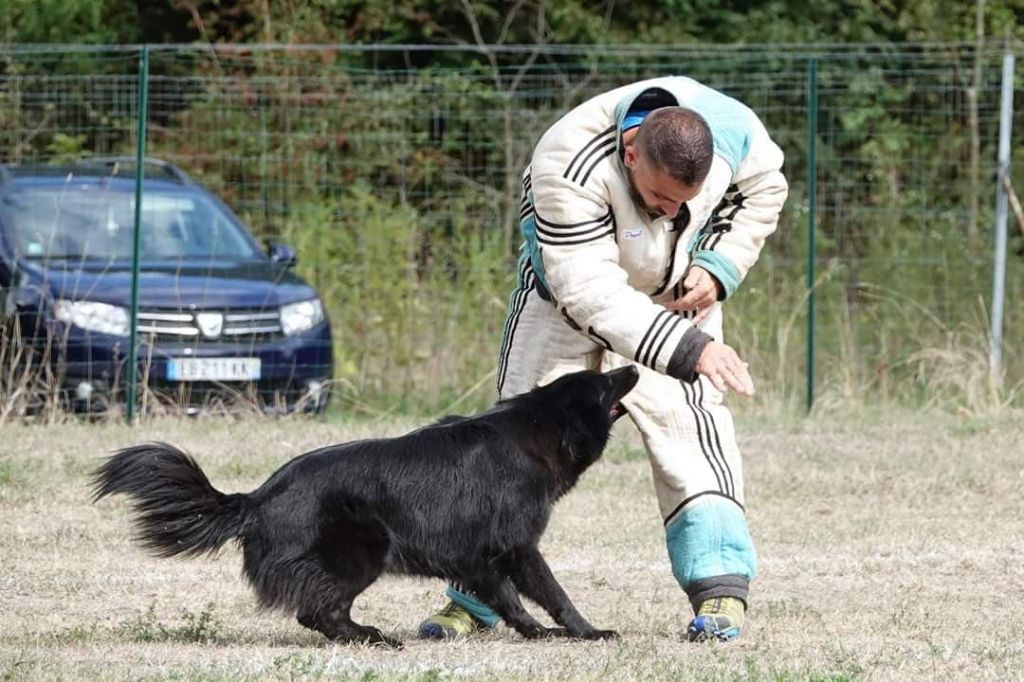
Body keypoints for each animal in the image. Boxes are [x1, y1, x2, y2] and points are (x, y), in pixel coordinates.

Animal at [96, 364, 638, 647]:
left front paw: (536, 633)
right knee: (317, 612)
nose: (632, 366)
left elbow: (508, 600)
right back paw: (371, 637)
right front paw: (588, 632)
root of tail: (258, 498)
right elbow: (553, 593)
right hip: (365, 550)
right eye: (605, 383)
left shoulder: (478, 556)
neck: (538, 429)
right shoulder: (519, 546)